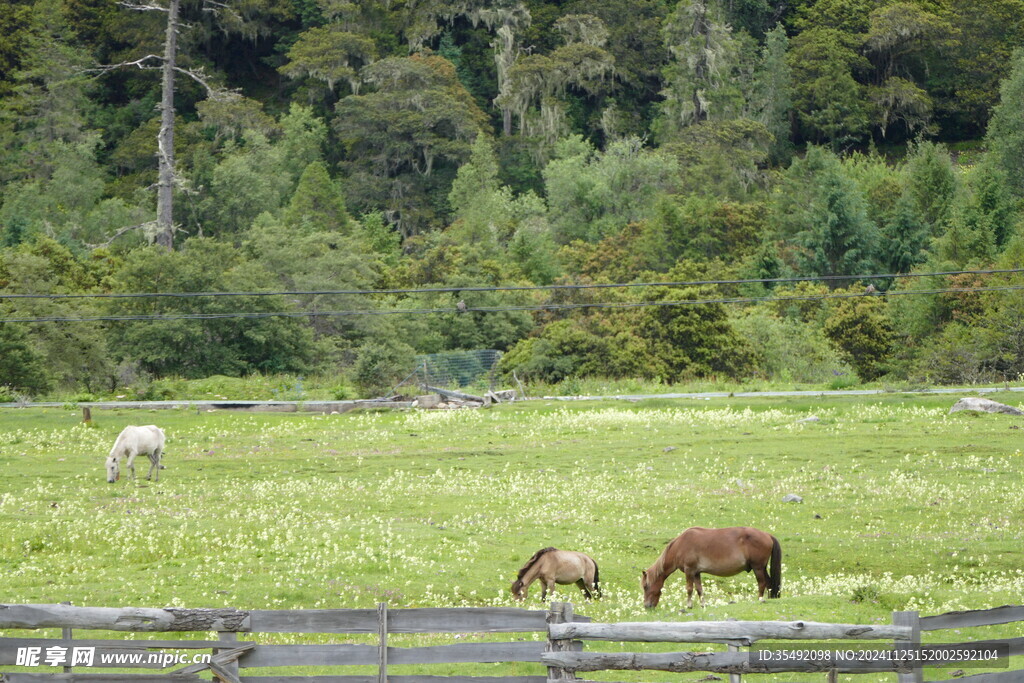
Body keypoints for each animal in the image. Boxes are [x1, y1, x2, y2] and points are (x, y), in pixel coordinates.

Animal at [643, 528, 778, 610]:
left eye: (645, 587)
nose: (646, 606)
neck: (680, 545)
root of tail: (767, 535)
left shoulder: (689, 571)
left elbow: (689, 589)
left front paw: (689, 605)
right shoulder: (696, 573)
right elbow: (699, 589)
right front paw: (703, 604)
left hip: (758, 568)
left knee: (762, 583)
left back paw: (760, 599)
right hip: (762, 568)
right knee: (769, 583)